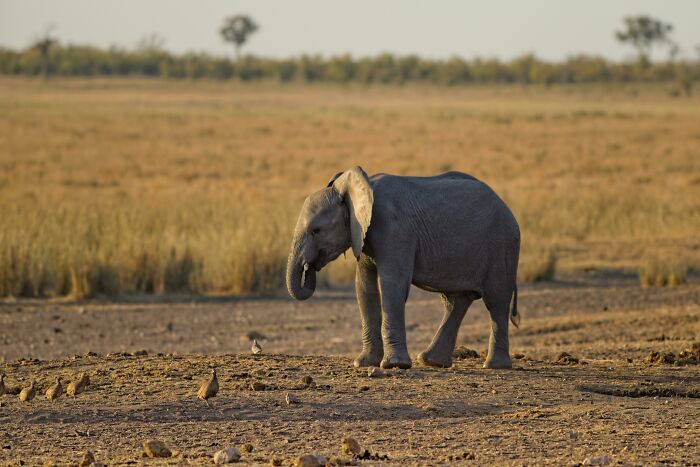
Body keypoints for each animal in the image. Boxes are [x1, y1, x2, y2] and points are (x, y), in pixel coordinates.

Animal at [286, 166, 520, 370]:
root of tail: (508, 209)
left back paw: (494, 366)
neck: (357, 188)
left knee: (496, 300)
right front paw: (363, 363)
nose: (309, 267)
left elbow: (392, 286)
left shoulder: (394, 229)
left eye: (316, 230)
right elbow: (364, 288)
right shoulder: (363, 234)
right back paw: (430, 361)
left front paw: (394, 365)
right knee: (456, 301)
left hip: (502, 245)